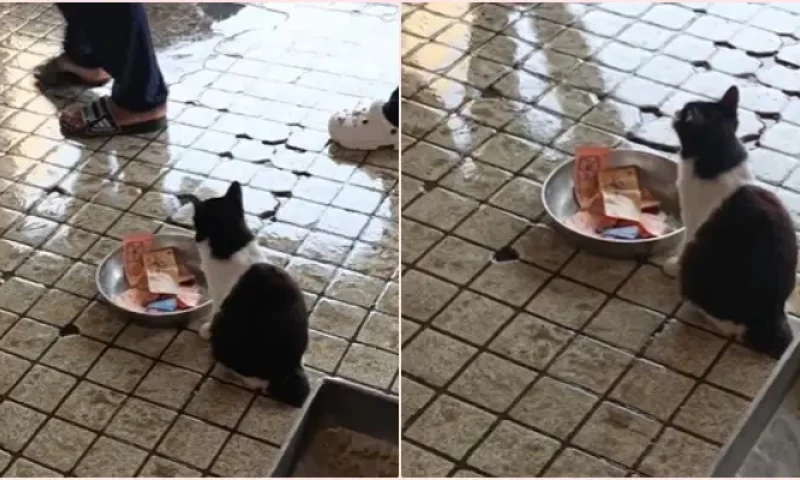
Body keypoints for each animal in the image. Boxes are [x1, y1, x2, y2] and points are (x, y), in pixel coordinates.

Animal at [186, 182, 310, 406]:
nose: (195, 237)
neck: (232, 240)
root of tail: (288, 369)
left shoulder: (219, 299)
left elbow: (213, 316)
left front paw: (206, 330)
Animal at [664, 84, 796, 358]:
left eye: (685, 112)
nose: (677, 110)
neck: (720, 155)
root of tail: (769, 316)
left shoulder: (692, 221)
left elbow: (682, 244)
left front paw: (671, 265)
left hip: (698, 265)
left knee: (728, 326)